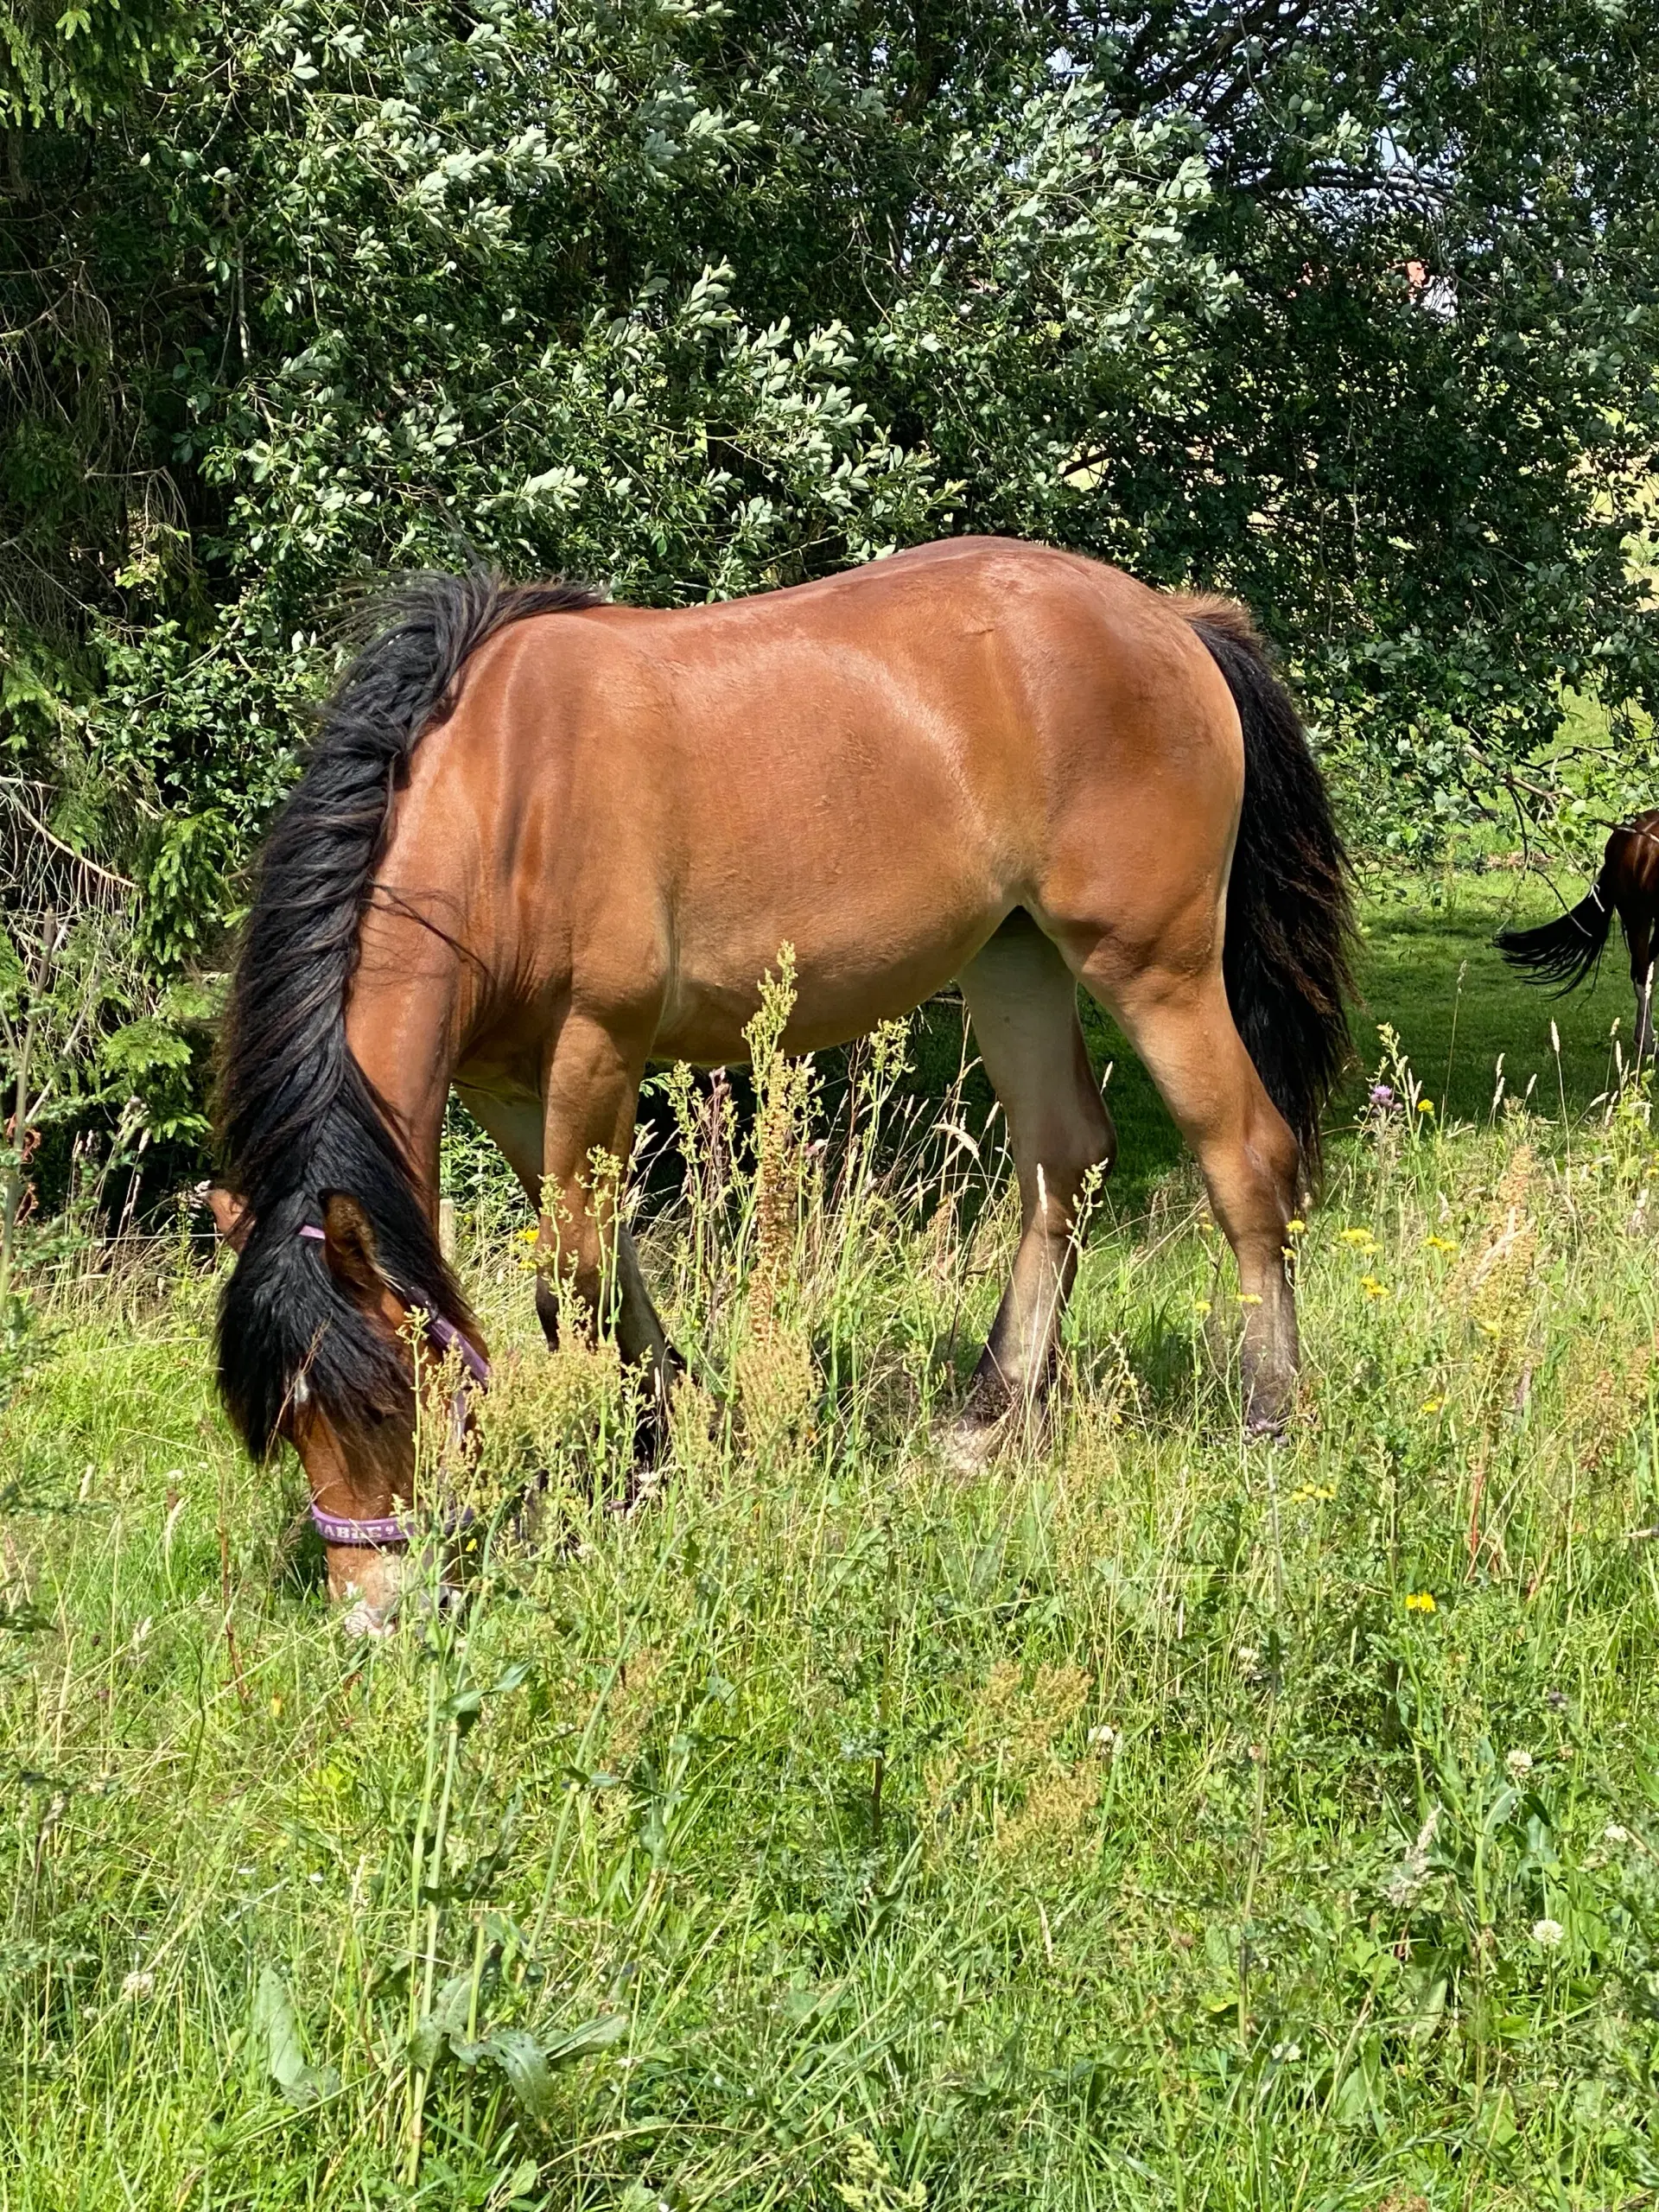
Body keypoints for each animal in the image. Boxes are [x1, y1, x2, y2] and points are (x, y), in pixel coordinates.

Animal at [214, 528, 1353, 1618]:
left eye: (385, 1401)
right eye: (284, 1427)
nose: (375, 1611)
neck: (508, 790)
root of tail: (1172, 621)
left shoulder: (598, 1043)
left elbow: (573, 1283)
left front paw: (606, 1481)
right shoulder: (506, 1083)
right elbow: (609, 1264)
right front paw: (663, 1442)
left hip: (1153, 965)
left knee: (1245, 1158)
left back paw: (1269, 1419)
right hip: (1016, 956)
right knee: (1062, 1163)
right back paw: (986, 1422)